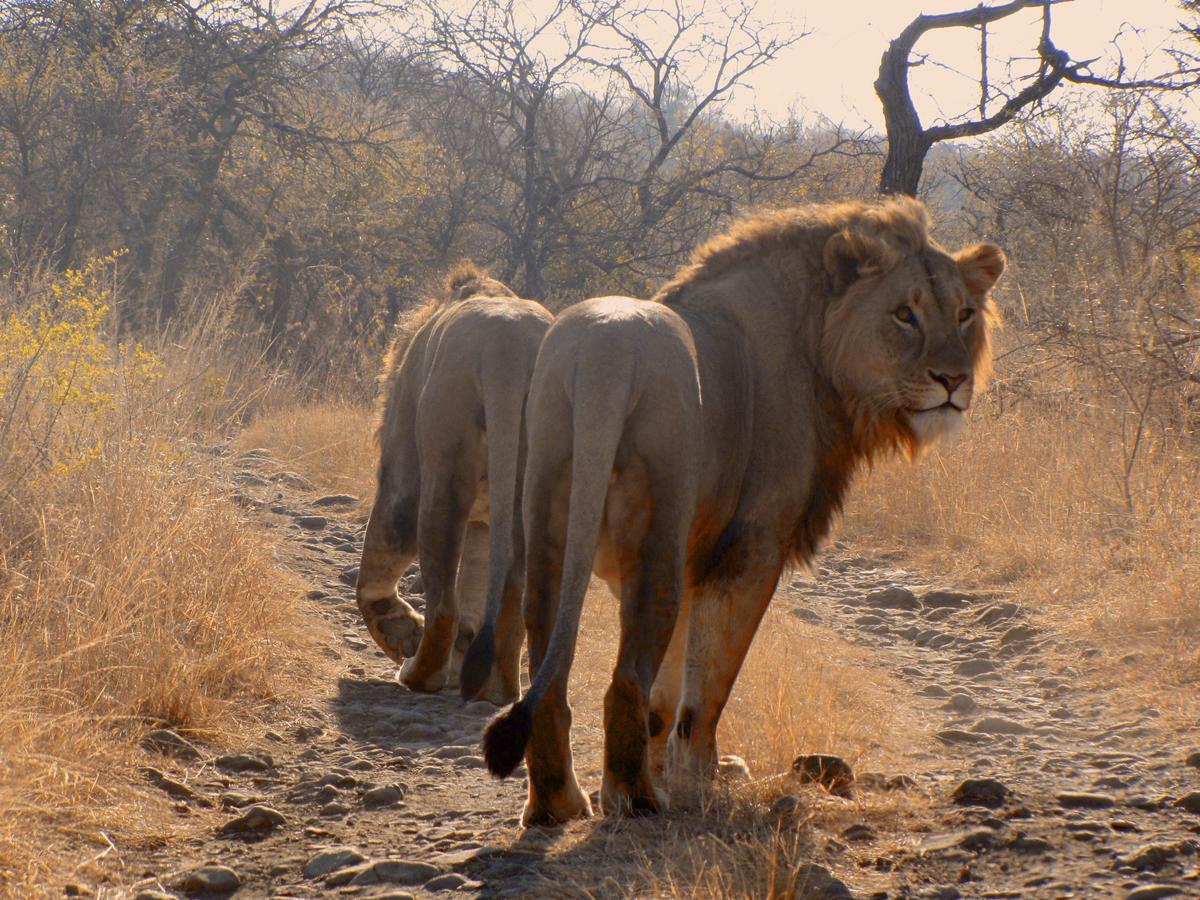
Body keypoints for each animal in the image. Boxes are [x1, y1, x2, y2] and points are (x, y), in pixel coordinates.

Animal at [350, 264, 549, 710]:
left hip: (443, 470)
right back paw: (498, 689)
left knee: (443, 604)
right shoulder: (485, 520)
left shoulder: (400, 473)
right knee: (511, 598)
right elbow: (476, 590)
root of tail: (508, 350)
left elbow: (375, 567)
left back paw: (418, 674)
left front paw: (400, 632)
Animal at [482, 195, 1008, 825]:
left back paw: (559, 804)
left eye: (963, 314)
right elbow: (705, 688)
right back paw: (636, 801)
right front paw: (699, 785)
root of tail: (600, 359)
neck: (815, 342)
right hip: (656, 537)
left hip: (551, 513)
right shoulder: (751, 547)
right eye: (904, 314)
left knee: (551, 670)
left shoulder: (699, 553)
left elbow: (669, 690)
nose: (953, 380)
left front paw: (673, 772)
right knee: (625, 679)